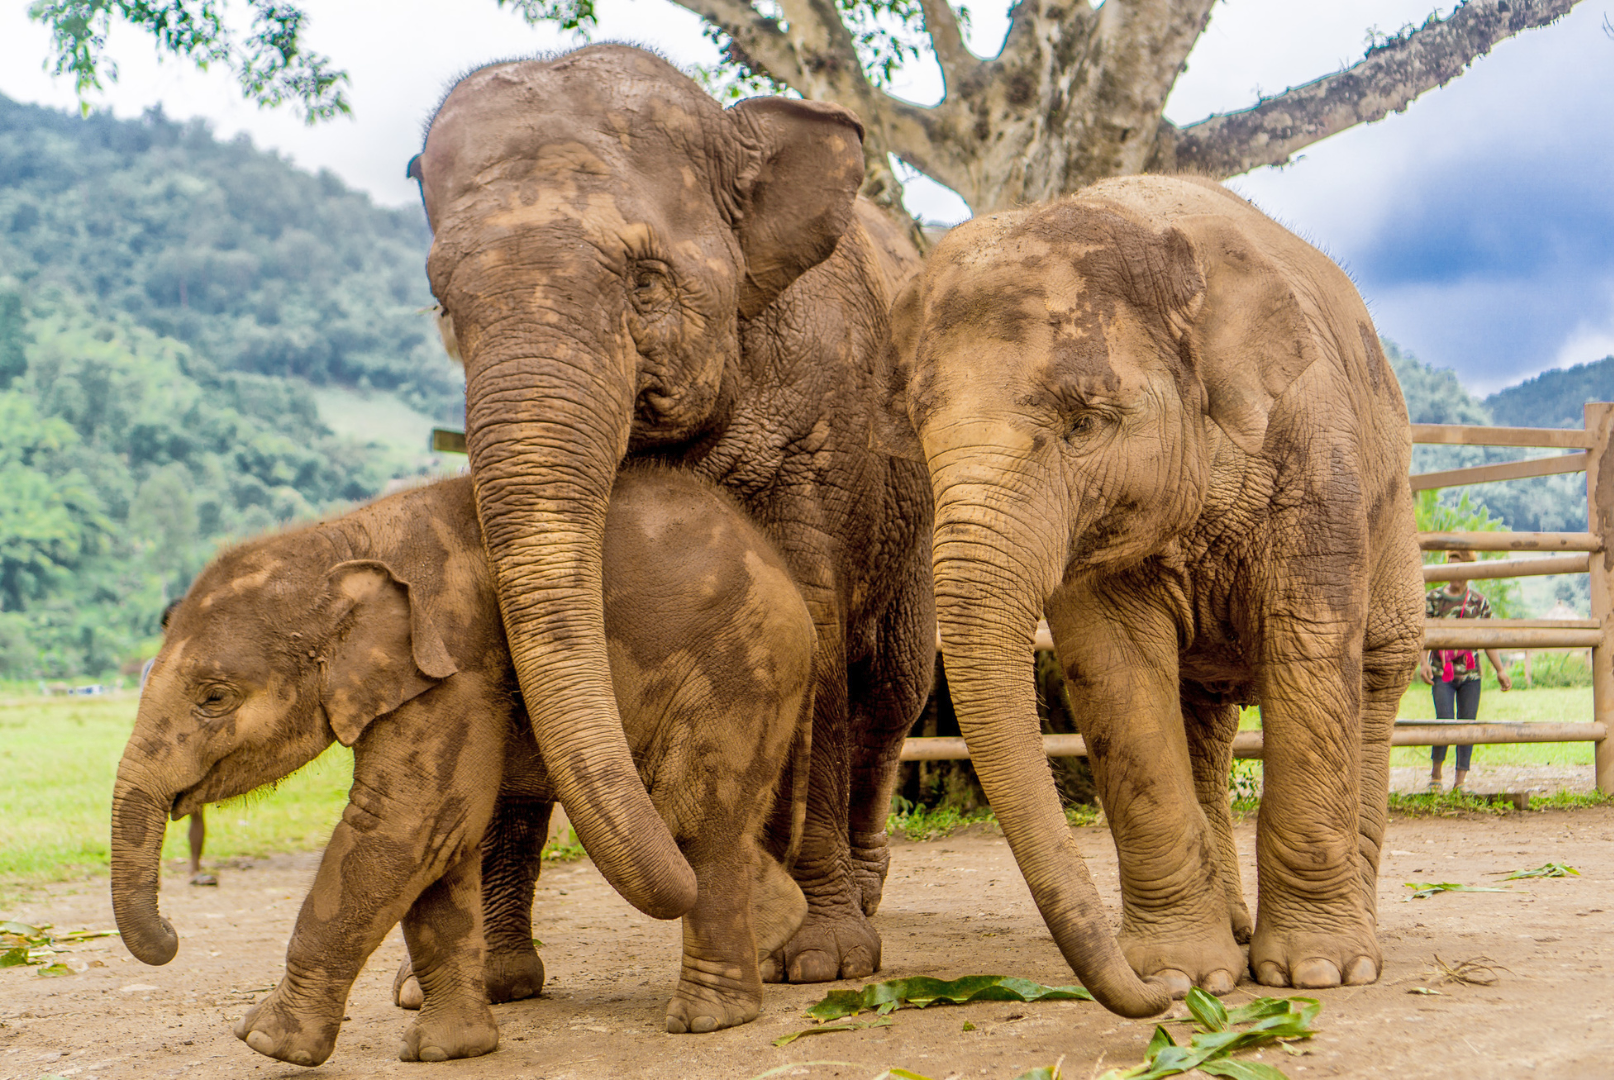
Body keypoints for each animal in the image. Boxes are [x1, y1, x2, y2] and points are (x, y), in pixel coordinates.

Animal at [110, 468, 819, 1065]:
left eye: (214, 698)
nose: (172, 933)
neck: (337, 539)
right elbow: (439, 842)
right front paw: (448, 1051)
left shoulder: (455, 663)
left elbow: (404, 826)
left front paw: (265, 1042)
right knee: (682, 820)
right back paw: (779, 921)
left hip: (741, 668)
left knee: (696, 817)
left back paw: (709, 1016)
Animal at [409, 44, 968, 994]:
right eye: (444, 301)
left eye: (645, 281)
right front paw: (477, 986)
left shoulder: (823, 430)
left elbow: (814, 631)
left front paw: (821, 957)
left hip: (915, 522)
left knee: (890, 690)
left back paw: (860, 897)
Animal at [878, 175, 1420, 994]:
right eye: (917, 431)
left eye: (1084, 424)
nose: (1150, 995)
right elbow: (1116, 672)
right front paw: (1188, 978)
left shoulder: (1317, 454)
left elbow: (1310, 650)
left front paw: (1318, 973)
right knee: (1203, 723)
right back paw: (1234, 935)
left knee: (1377, 678)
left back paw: (1357, 943)